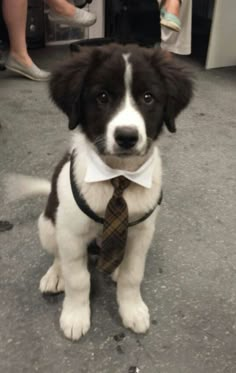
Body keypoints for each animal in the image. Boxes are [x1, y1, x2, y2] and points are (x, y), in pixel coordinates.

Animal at [7, 44, 193, 340]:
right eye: (102, 97)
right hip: (47, 226)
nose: (127, 137)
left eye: (148, 97)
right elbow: (78, 279)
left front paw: (132, 309)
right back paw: (55, 274)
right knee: (58, 255)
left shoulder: (142, 233)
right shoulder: (71, 234)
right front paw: (75, 314)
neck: (118, 178)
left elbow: (132, 274)